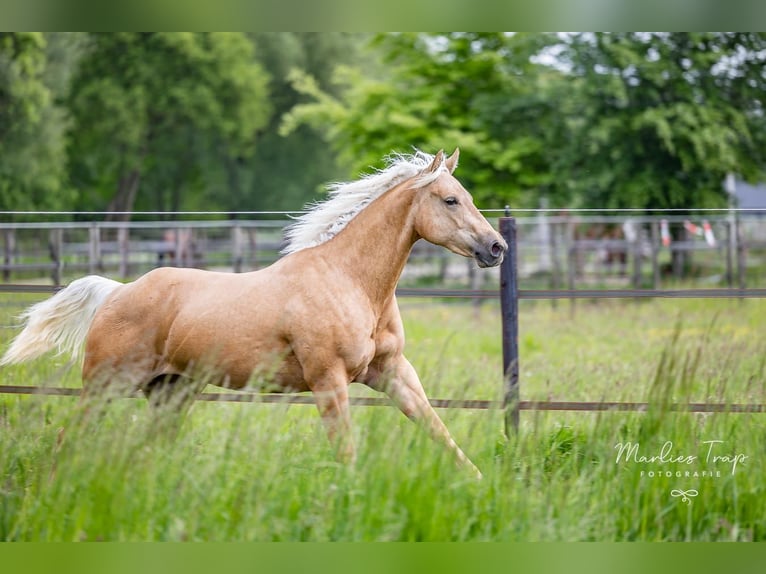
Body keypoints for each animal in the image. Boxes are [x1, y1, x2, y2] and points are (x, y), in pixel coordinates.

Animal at [3, 150, 508, 482]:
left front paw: (481, 488)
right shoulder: (329, 381)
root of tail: (117, 291)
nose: (497, 247)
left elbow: (439, 431)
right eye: (450, 200)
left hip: (171, 394)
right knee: (69, 438)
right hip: (107, 387)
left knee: (149, 448)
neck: (350, 281)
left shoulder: (392, 372)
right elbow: (346, 452)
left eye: (466, 195)